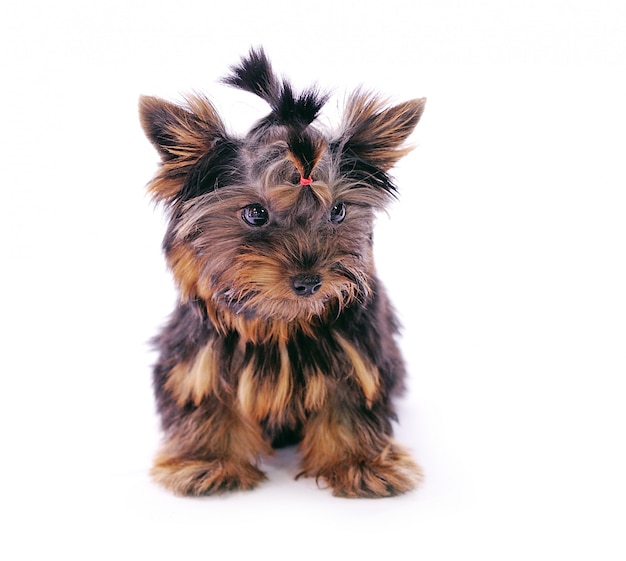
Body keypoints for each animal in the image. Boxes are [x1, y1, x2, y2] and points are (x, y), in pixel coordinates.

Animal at [138, 47, 424, 494]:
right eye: (255, 213)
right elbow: (205, 395)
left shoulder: (357, 355)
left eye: (338, 211)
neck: (281, 323)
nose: (310, 281)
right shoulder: (200, 358)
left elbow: (349, 402)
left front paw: (358, 462)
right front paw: (208, 460)